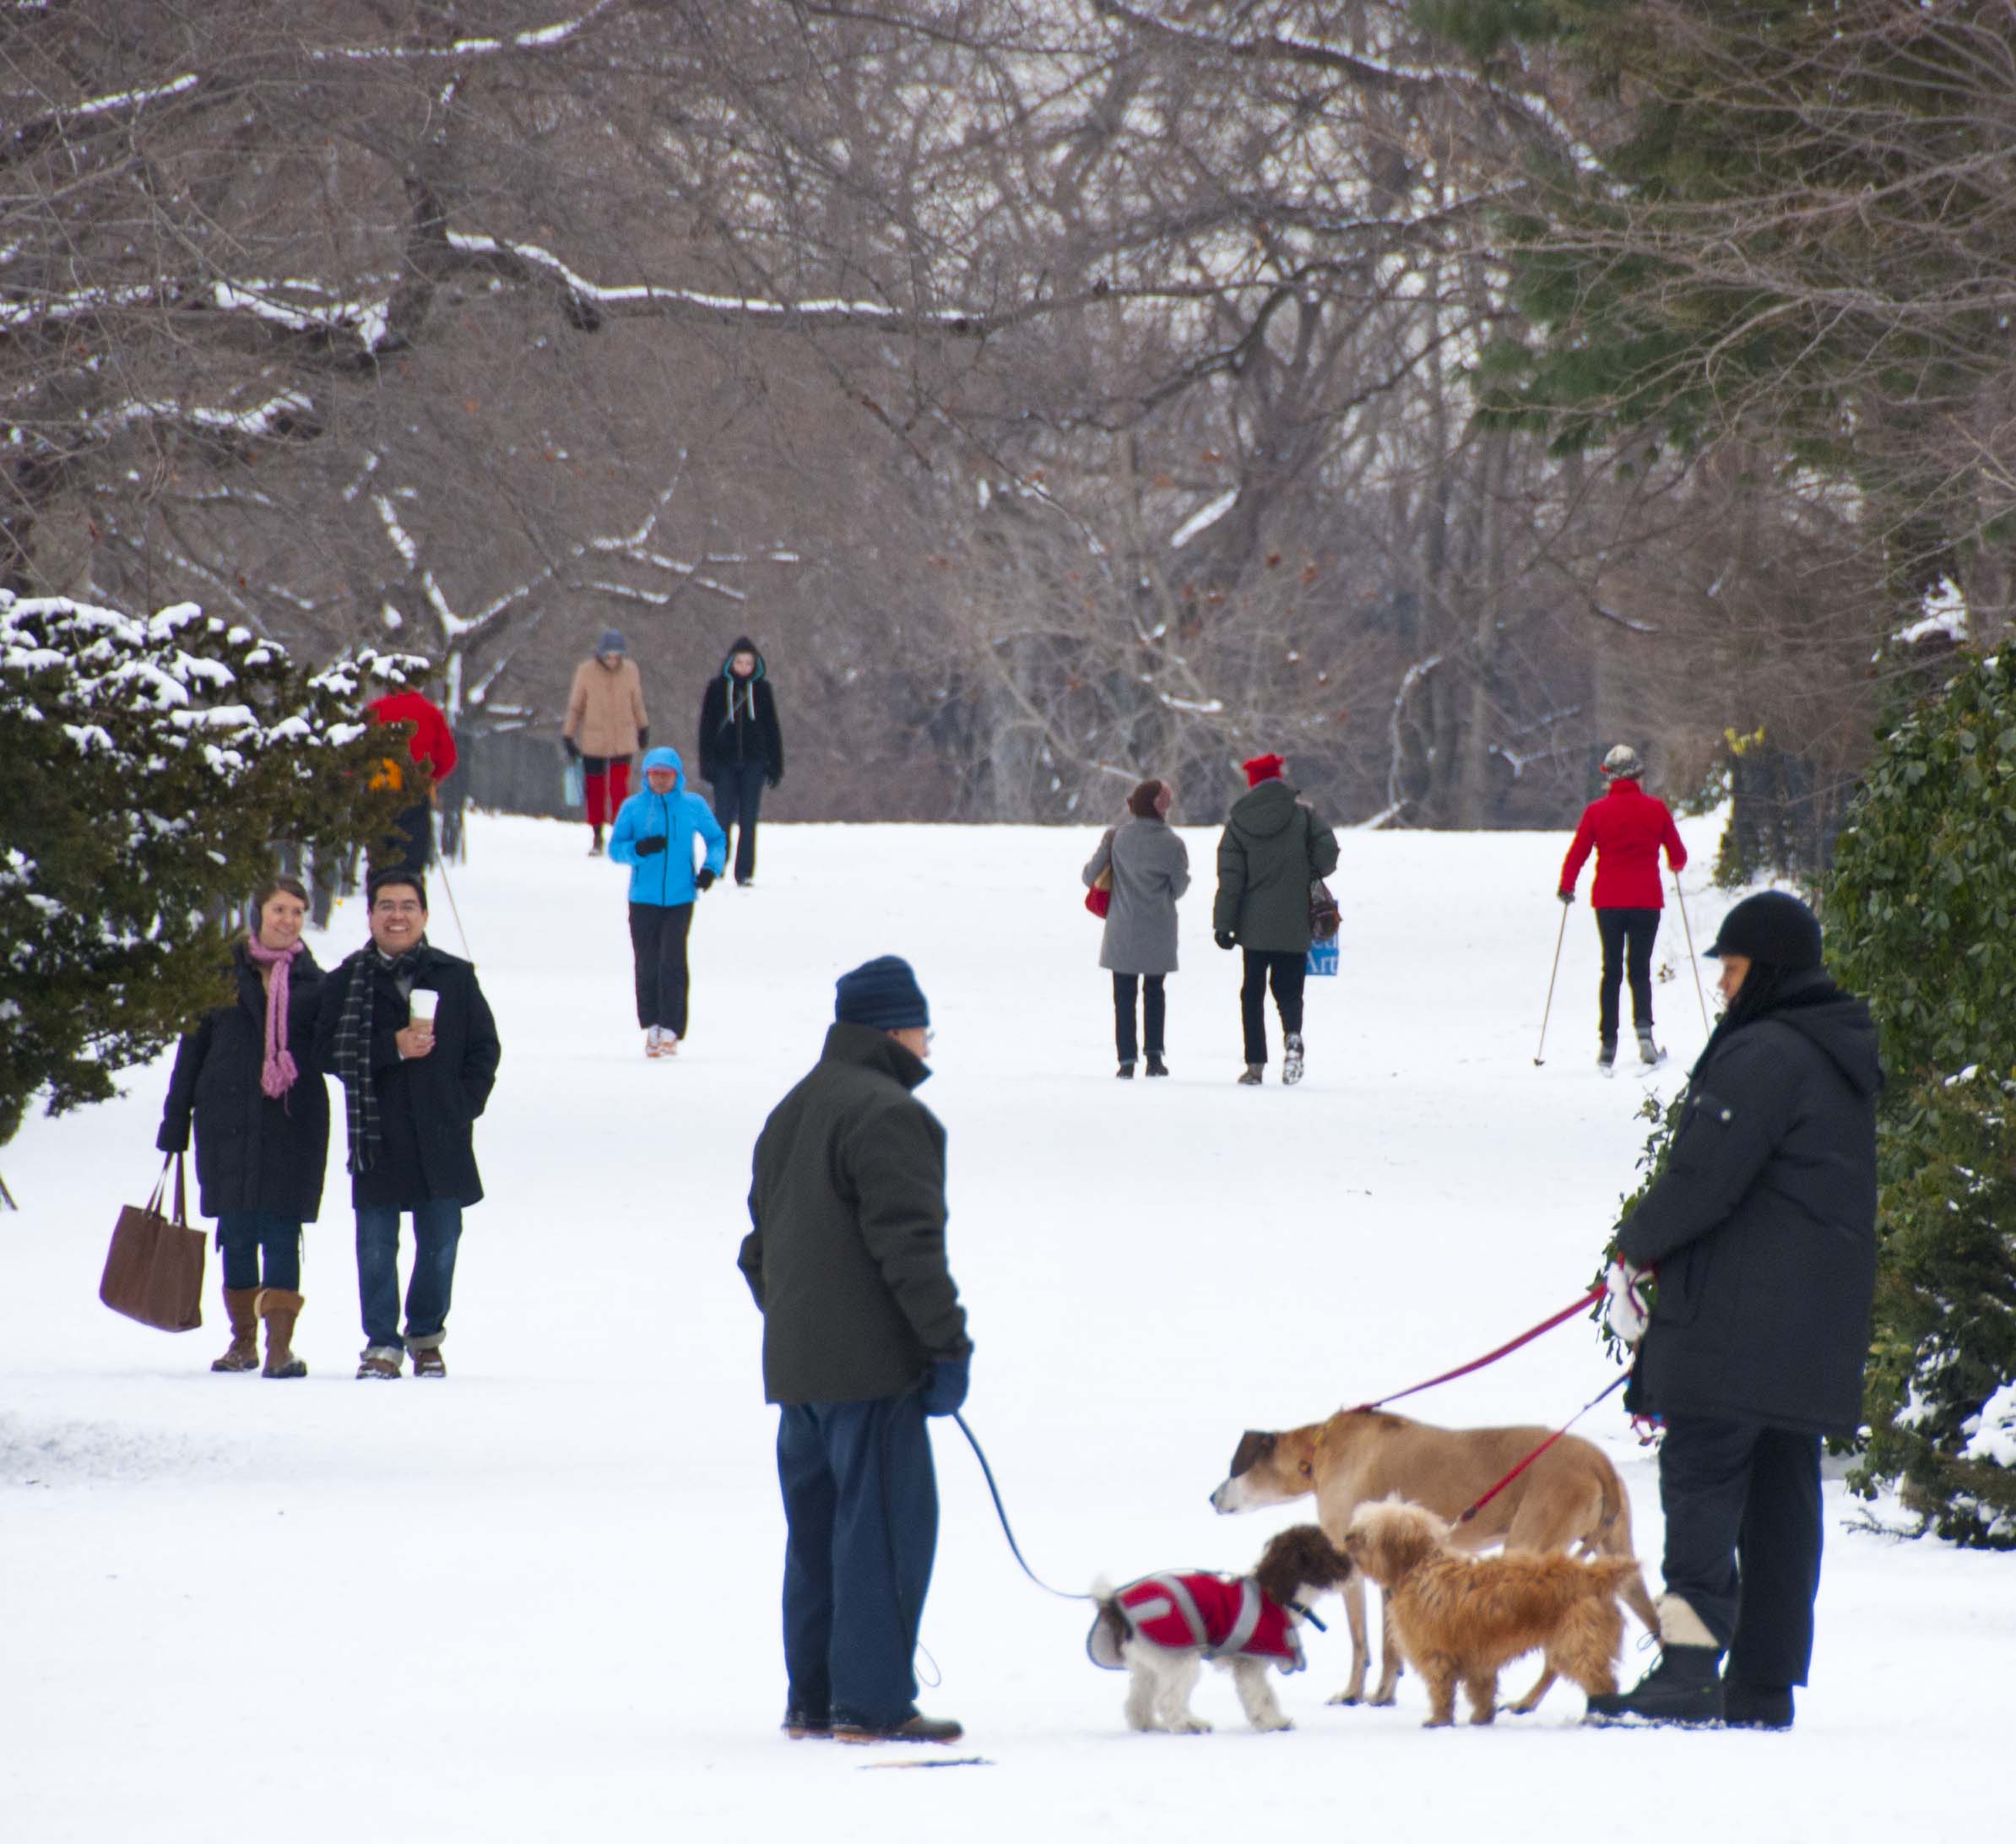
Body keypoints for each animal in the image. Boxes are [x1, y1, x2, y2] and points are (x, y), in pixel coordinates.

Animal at [1087, 1524, 1353, 1734]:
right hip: (1180, 1658)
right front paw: (1273, 1723)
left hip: (1148, 1663)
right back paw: (1190, 1725)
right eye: (1328, 1550)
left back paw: (1149, 1725)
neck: (1276, 1593)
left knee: (1137, 1702)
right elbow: (1262, 1694)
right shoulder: (1250, 1663)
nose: (1351, 1563)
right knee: (1169, 1699)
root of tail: (1116, 1608)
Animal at [1342, 1498, 1641, 1726]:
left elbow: (1441, 1690)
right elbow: (1482, 1690)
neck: (1420, 1567)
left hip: (1578, 1645)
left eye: (1366, 1534)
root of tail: (1596, 1574)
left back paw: (1599, 1716)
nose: (1347, 1536)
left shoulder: (1437, 1654)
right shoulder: (1478, 1656)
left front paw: (1439, 1721)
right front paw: (1481, 1717)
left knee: (1602, 1682)